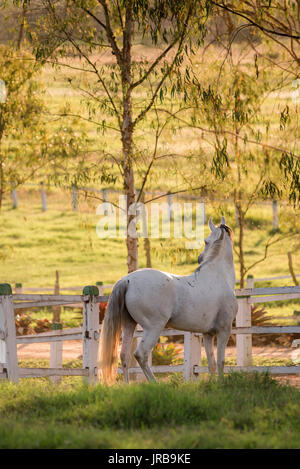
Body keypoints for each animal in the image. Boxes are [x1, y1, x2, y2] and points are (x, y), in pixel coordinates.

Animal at [99, 218, 238, 382]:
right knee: (140, 354)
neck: (218, 275)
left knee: (124, 356)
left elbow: (212, 363)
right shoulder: (224, 330)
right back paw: (154, 383)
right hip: (153, 328)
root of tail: (127, 280)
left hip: (129, 325)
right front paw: (221, 383)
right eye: (206, 241)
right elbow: (221, 361)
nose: (199, 259)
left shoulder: (207, 334)